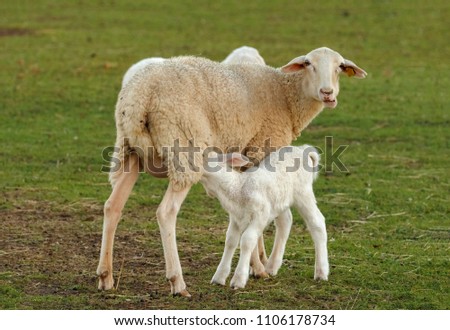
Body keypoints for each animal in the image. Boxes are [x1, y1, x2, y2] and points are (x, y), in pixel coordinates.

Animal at [201, 145, 326, 288]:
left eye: (204, 156)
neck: (238, 188)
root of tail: (303, 150)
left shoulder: (260, 215)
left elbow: (247, 241)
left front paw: (238, 279)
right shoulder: (236, 218)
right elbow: (230, 241)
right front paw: (219, 277)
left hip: (303, 193)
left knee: (317, 222)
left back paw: (321, 272)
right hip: (280, 200)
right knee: (286, 222)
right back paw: (272, 266)